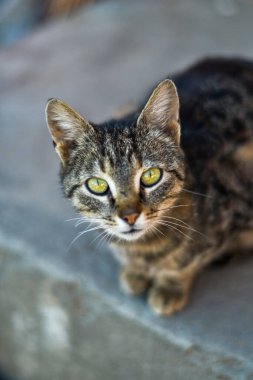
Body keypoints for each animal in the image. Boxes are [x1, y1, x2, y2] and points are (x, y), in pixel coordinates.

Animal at [45, 58, 253, 316]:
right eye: (98, 184)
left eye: (151, 175)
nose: (130, 217)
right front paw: (135, 272)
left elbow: (188, 259)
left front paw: (169, 285)